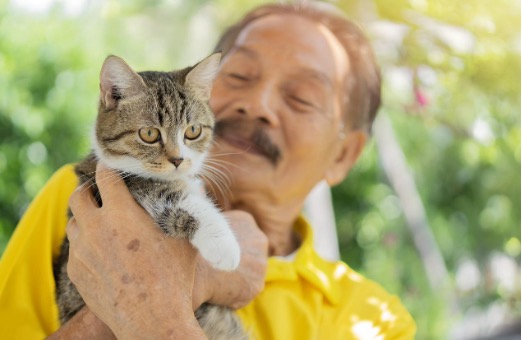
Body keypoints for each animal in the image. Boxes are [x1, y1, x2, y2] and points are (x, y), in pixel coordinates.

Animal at [53, 53, 245, 340]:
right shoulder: (126, 185)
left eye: (193, 131)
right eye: (149, 134)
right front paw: (223, 245)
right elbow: (173, 198)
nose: (178, 160)